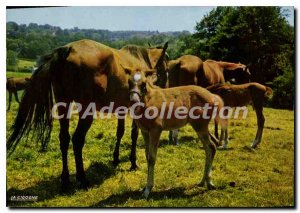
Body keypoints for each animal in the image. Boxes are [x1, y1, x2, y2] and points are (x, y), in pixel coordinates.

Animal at [7, 38, 168, 191]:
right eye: (166, 65)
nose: (164, 86)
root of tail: (68, 49)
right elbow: (133, 134)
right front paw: (133, 162)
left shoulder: (121, 108)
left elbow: (120, 132)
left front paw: (116, 159)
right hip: (86, 110)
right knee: (77, 139)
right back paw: (82, 179)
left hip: (63, 103)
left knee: (64, 138)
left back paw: (65, 181)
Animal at [124, 67, 225, 199]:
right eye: (129, 82)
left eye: (143, 84)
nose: (133, 100)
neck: (148, 101)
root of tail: (212, 96)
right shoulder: (145, 131)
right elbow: (147, 156)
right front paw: (144, 188)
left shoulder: (156, 130)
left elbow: (152, 158)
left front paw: (148, 190)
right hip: (199, 127)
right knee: (210, 147)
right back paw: (203, 181)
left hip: (200, 126)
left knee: (211, 146)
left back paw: (208, 182)